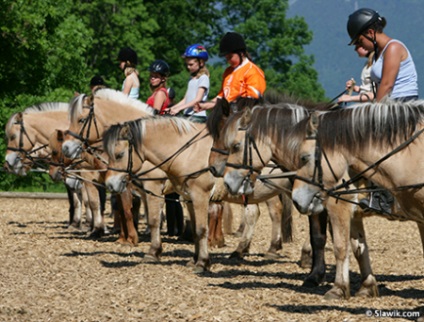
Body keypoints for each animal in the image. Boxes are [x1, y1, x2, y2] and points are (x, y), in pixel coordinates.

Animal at [290, 100, 424, 300]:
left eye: (304, 158)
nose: (296, 200)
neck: (412, 156)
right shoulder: (353, 212)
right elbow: (358, 248)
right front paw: (366, 287)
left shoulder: (338, 208)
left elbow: (340, 246)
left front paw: (337, 288)